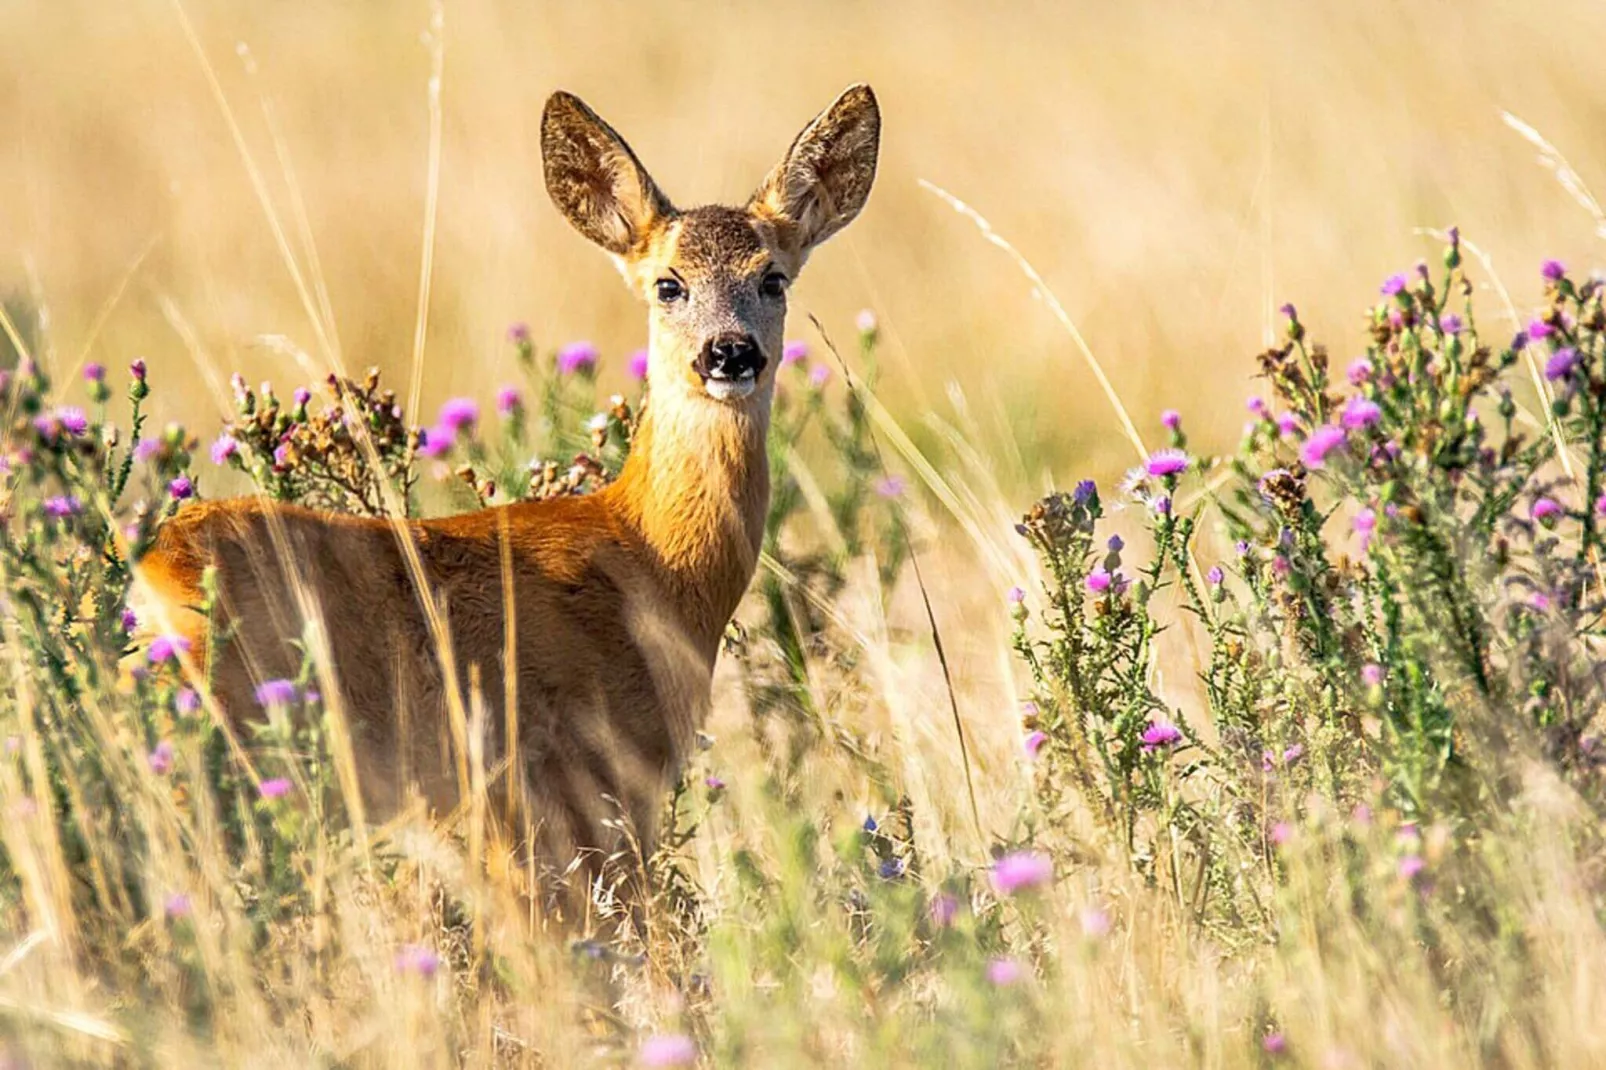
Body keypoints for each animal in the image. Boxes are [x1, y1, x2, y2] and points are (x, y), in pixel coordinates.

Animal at [138, 85, 886, 899]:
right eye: (669, 284)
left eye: (773, 278)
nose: (729, 353)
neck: (652, 561)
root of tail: (149, 572)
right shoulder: (579, 783)